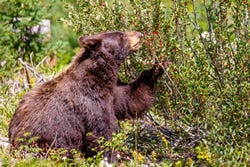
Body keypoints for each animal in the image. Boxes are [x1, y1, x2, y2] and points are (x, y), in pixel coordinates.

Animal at [8, 30, 164, 161]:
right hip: (43, 140)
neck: (99, 77)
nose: (140, 34)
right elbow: (102, 131)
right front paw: (109, 156)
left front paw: (156, 69)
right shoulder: (91, 102)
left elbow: (130, 98)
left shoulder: (112, 93)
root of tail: (12, 144)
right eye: (121, 36)